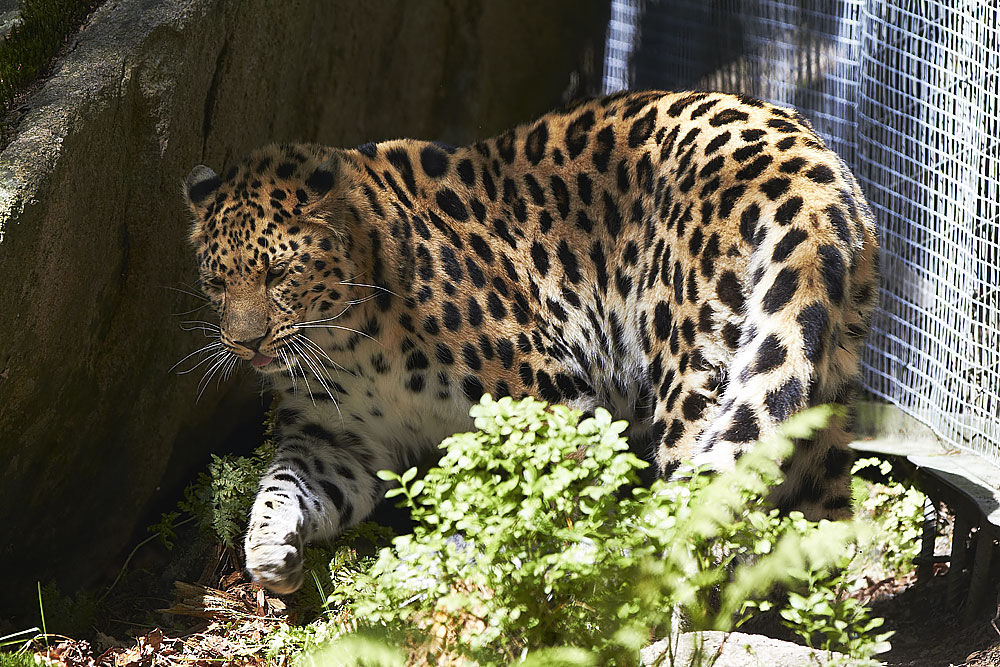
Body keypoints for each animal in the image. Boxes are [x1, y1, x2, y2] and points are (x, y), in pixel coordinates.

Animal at [186, 90, 876, 596]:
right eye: (217, 281)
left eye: (279, 274)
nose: (245, 345)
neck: (349, 345)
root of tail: (802, 163)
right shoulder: (336, 440)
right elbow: (283, 487)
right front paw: (268, 552)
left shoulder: (550, 395)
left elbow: (551, 497)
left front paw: (525, 572)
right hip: (815, 369)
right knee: (816, 511)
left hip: (696, 379)